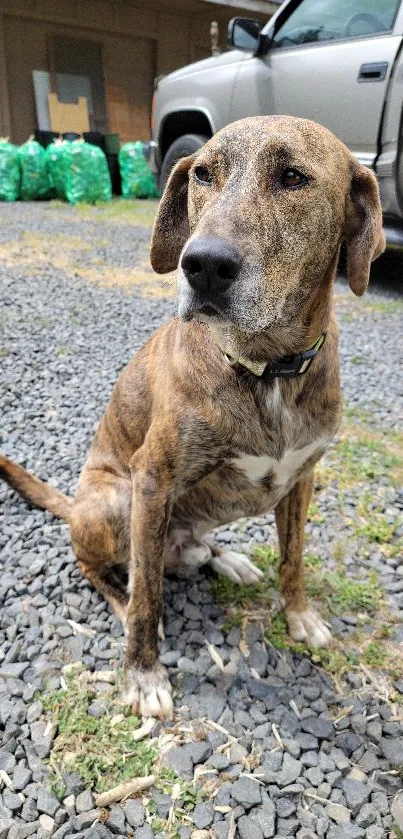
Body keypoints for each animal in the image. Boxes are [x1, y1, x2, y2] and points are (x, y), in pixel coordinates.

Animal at [0, 116, 386, 720]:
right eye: (203, 174)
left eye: (293, 177)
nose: (202, 264)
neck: (266, 368)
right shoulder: (152, 480)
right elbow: (148, 598)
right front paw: (142, 673)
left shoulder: (303, 478)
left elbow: (293, 557)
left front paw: (299, 615)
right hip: (115, 502)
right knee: (106, 568)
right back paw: (123, 601)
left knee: (188, 552)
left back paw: (227, 559)